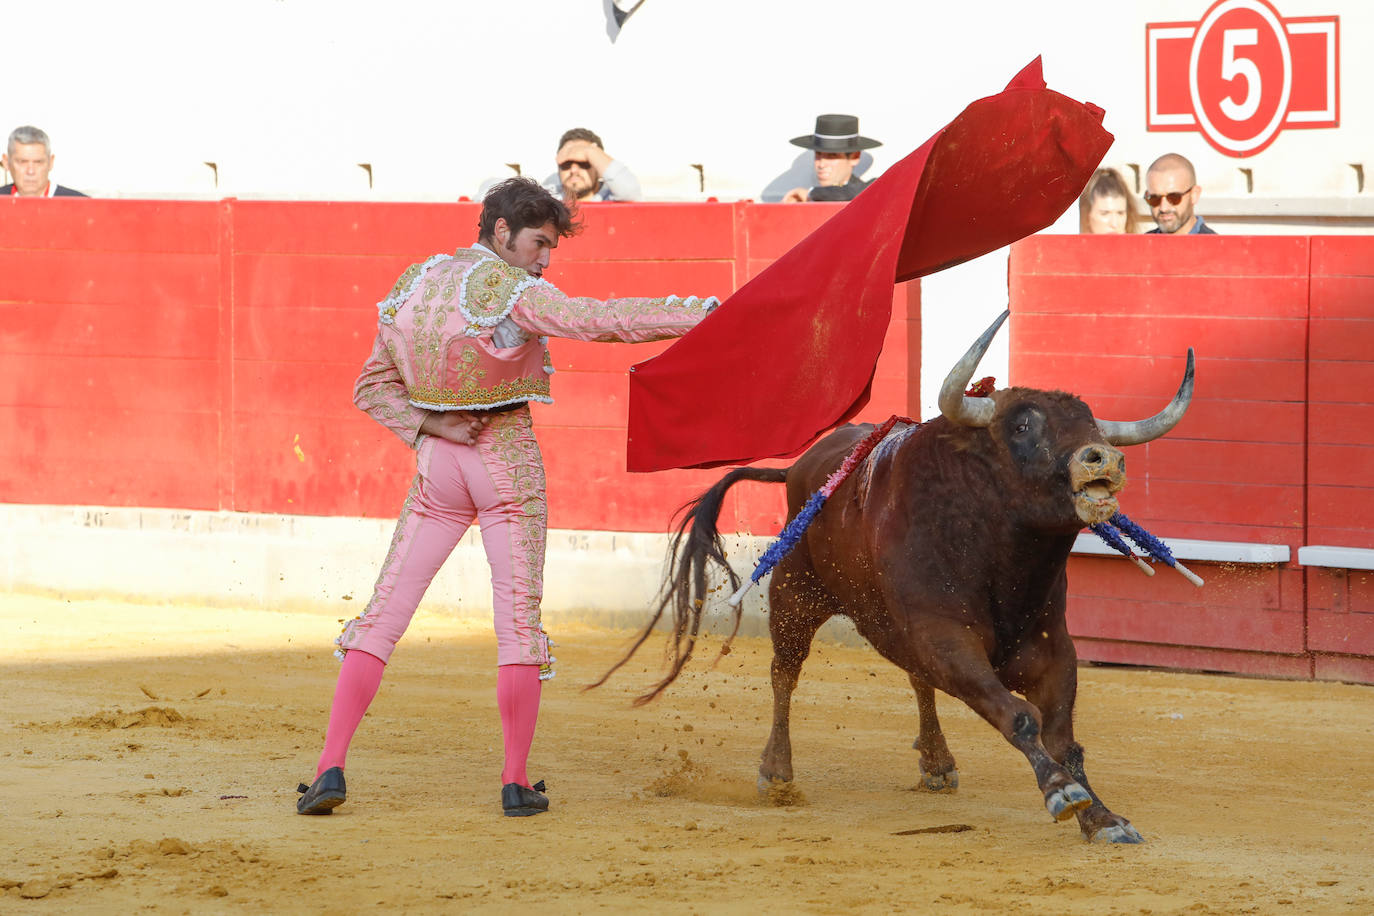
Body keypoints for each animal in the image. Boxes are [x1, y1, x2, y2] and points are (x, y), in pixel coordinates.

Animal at [599, 313, 1192, 845]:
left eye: (1091, 423)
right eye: (1023, 425)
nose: (1103, 457)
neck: (1002, 556)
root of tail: (799, 467)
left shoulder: (1051, 648)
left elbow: (1063, 737)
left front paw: (1103, 817)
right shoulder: (944, 637)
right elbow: (1021, 717)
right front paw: (1062, 793)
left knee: (914, 680)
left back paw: (936, 762)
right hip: (796, 596)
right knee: (784, 674)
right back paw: (777, 772)